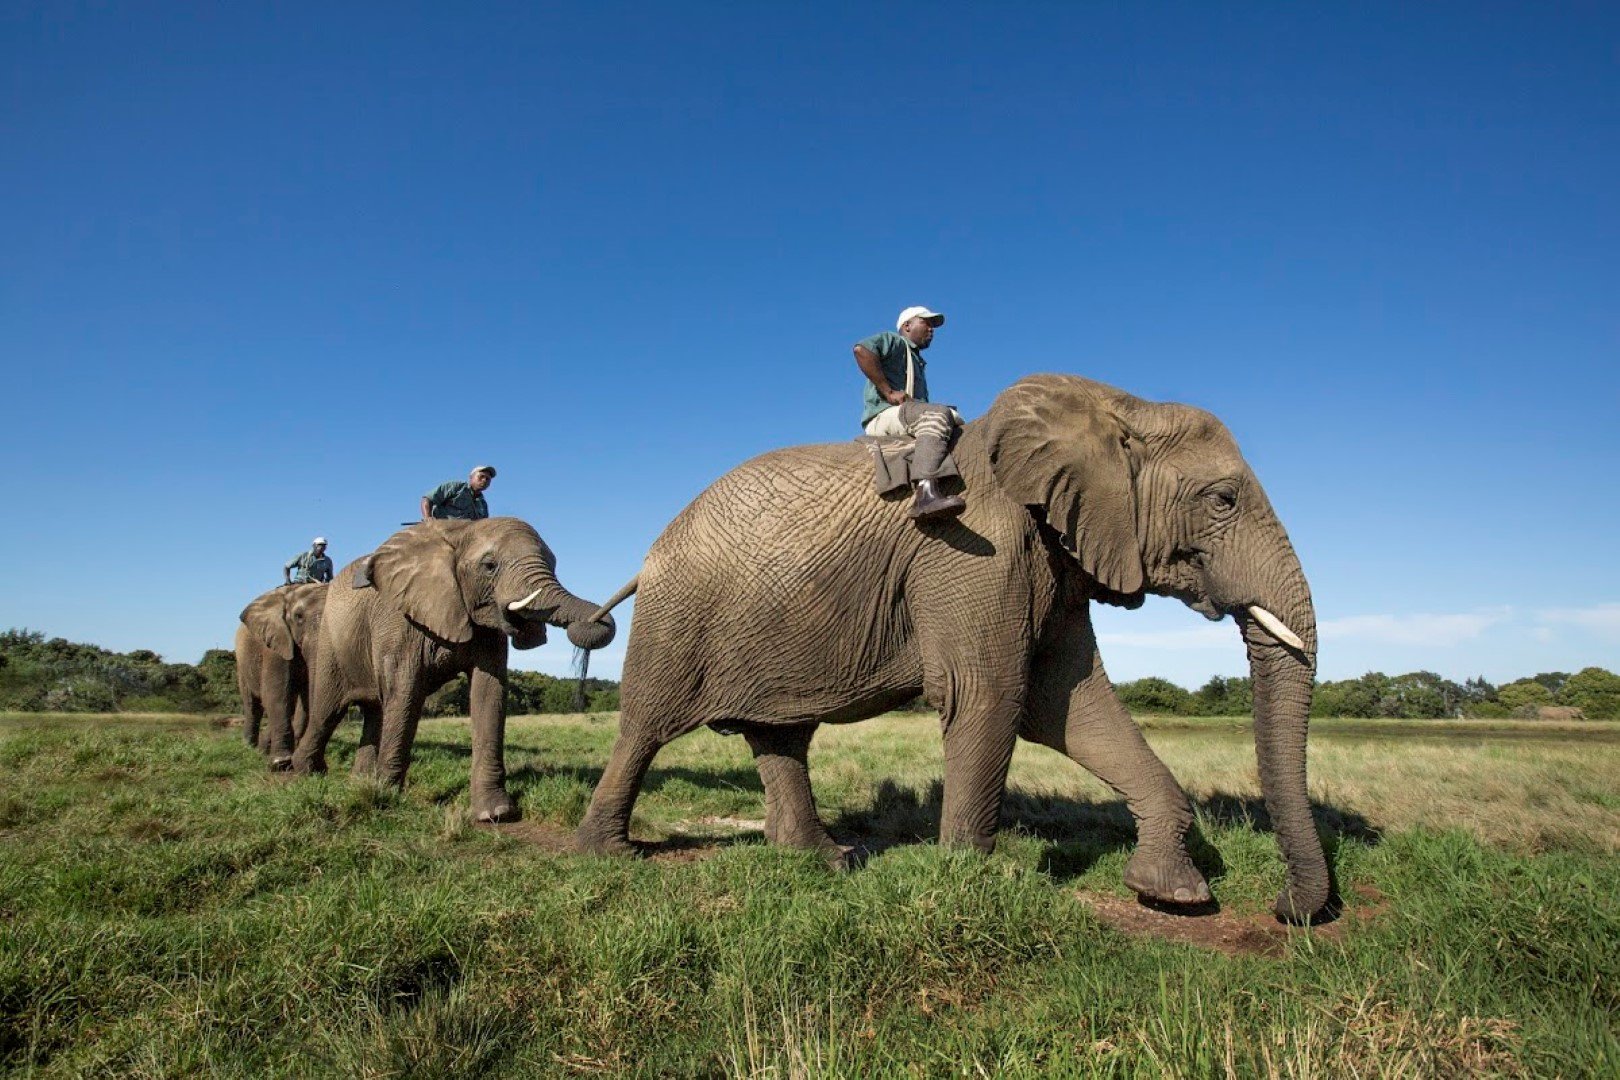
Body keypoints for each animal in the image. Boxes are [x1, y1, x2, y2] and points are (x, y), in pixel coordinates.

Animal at [234, 582, 325, 761]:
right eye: (298, 617)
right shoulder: (276, 642)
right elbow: (276, 693)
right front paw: (281, 760)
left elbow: (304, 699)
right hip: (241, 662)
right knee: (252, 705)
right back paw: (248, 747)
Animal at [288, 518, 615, 822]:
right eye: (489, 566)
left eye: (555, 564)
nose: (593, 621)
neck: (460, 533)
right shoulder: (400, 619)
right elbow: (406, 693)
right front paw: (385, 797)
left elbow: (489, 693)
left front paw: (495, 813)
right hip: (330, 639)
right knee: (328, 709)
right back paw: (304, 773)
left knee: (373, 710)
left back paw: (359, 781)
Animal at [579, 375, 1328, 926]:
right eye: (1223, 499)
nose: (1286, 909)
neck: (1113, 404)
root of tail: (650, 552)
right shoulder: (976, 551)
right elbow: (991, 695)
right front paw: (975, 879)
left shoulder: (1050, 559)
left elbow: (1068, 707)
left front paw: (1173, 895)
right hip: (677, 616)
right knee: (646, 727)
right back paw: (607, 856)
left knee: (780, 734)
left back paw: (827, 861)